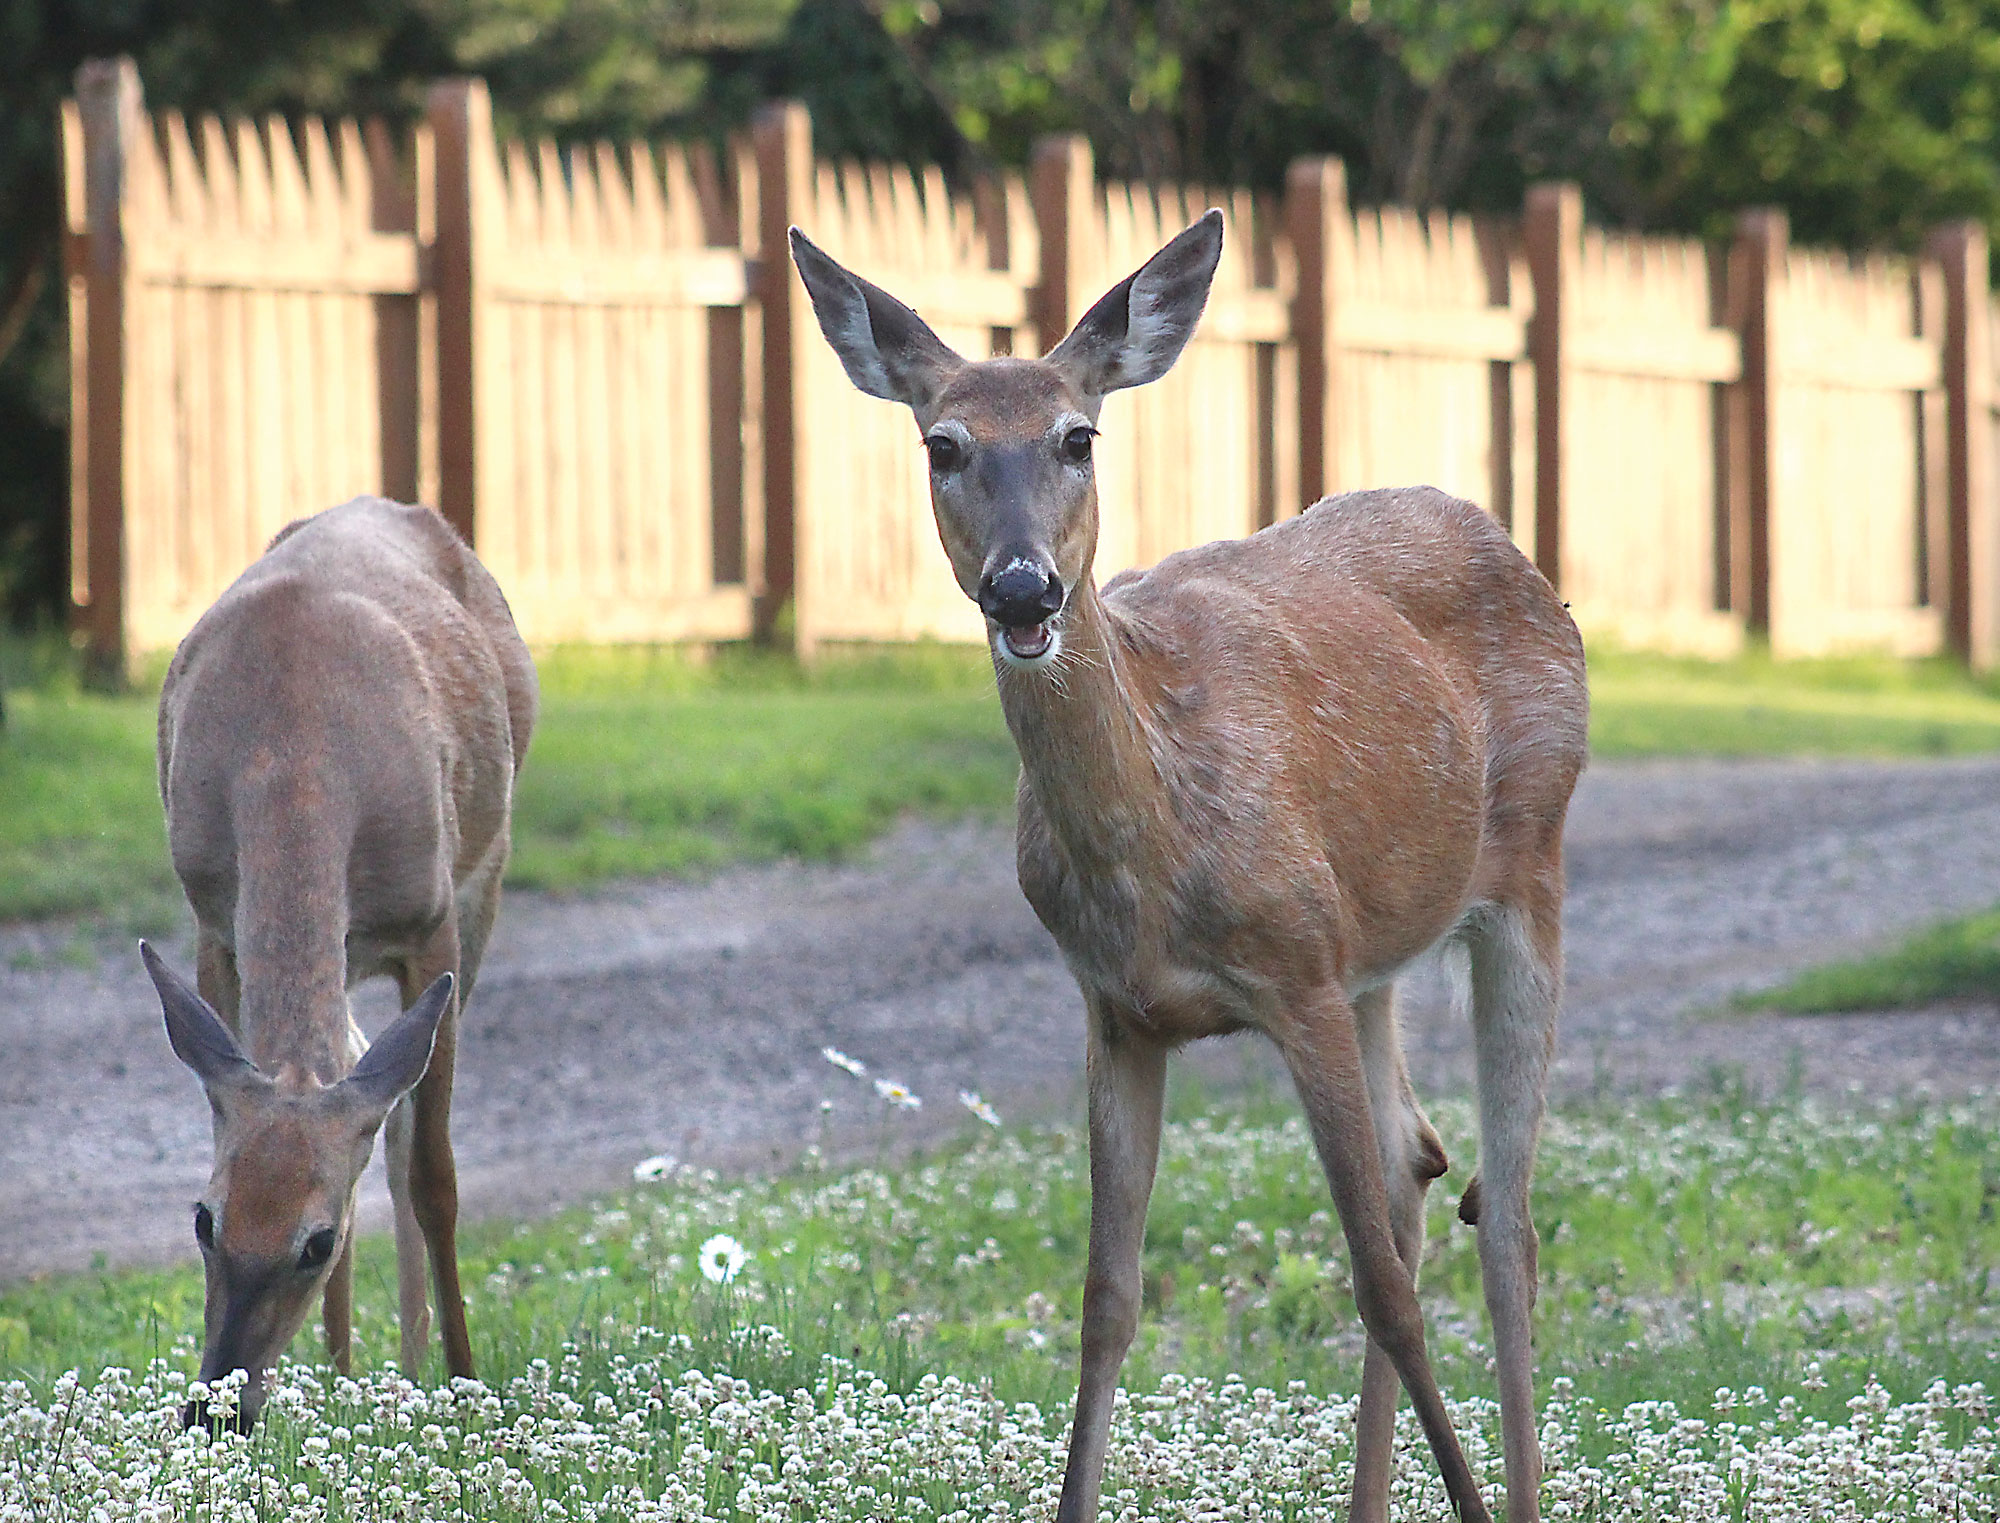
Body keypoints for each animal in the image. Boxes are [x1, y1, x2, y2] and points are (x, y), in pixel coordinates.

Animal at [141, 495, 537, 1432]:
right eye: (204, 1218)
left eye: (312, 1243)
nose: (216, 1407)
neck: (296, 752)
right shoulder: (213, 920)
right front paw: (335, 1373)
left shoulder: (434, 922)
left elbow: (431, 1172)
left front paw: (464, 1380)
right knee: (355, 1061)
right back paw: (345, 1370)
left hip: (487, 874)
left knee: (396, 1135)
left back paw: (417, 1366)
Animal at [790, 211, 1587, 1522]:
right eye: (942, 444)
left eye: (1077, 435)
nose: (1023, 585)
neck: (1152, 852)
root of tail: (1506, 541)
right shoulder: (1117, 1010)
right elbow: (1105, 1302)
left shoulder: (1298, 974)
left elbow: (1378, 1285)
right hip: (1376, 952)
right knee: (1418, 1160)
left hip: (1528, 858)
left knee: (1504, 1217)